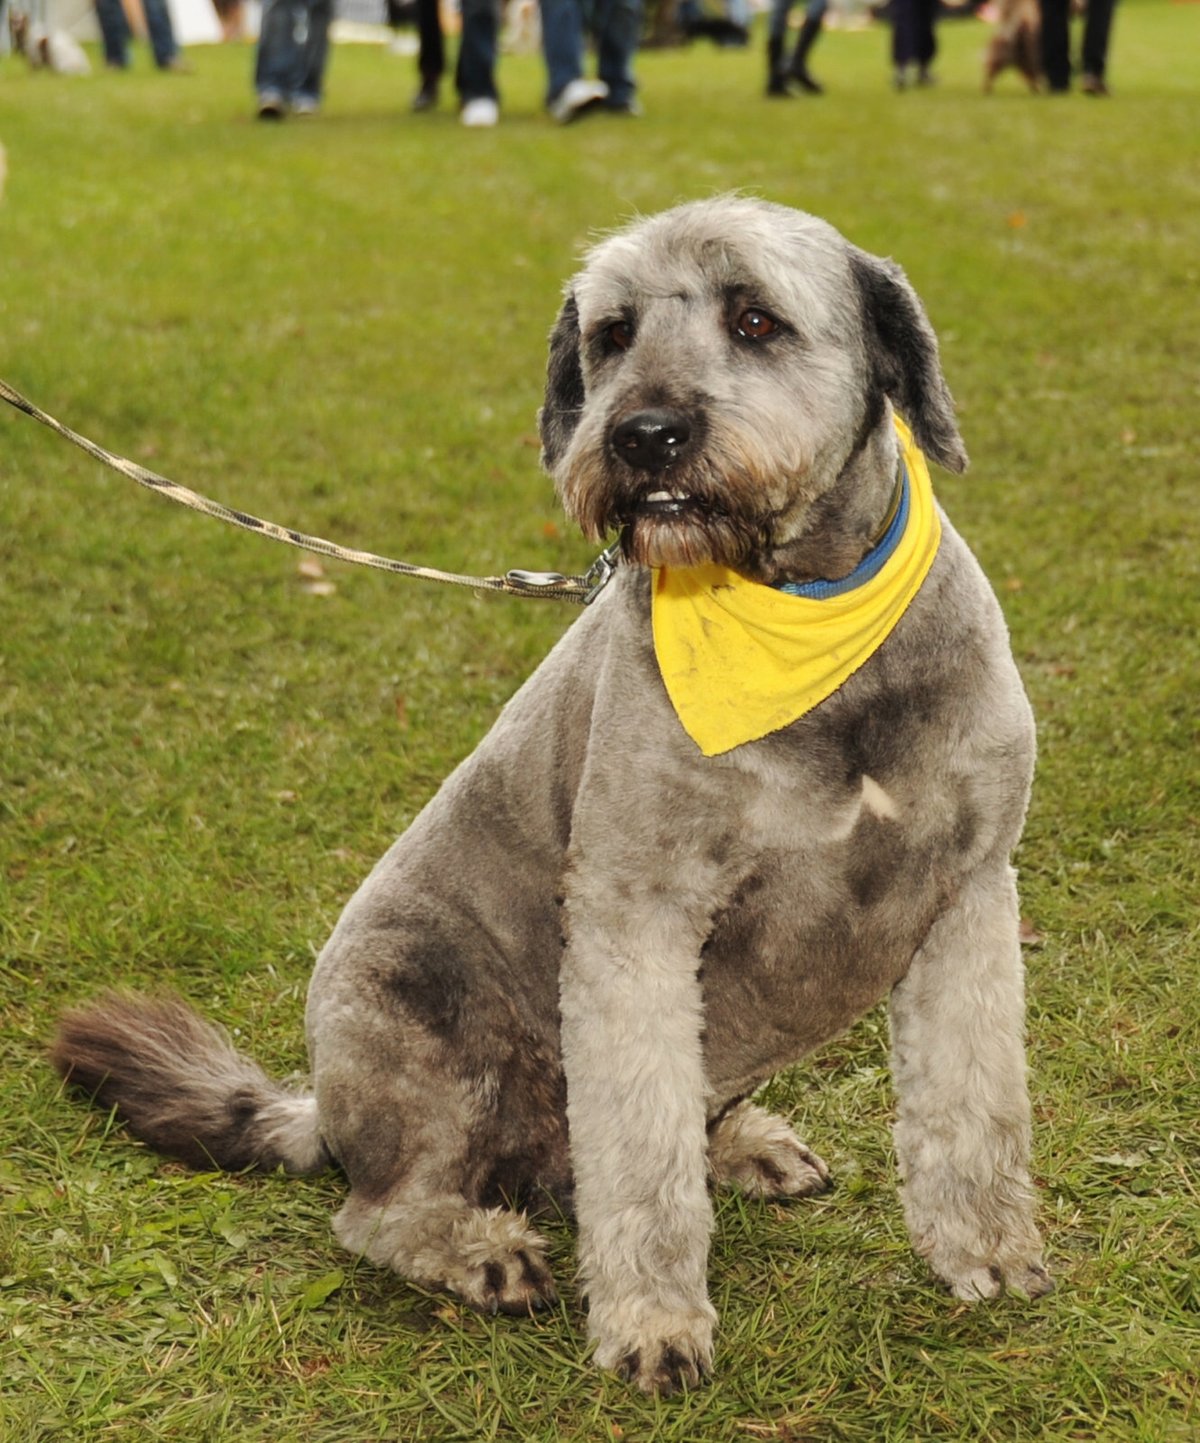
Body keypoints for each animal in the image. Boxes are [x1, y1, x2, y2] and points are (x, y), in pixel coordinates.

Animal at [54, 197, 1050, 1391]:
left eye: (756, 318)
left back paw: (742, 1142)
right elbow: (641, 1162)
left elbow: (975, 1105)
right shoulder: (636, 924)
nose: (643, 435)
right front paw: (655, 1321)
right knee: (380, 1210)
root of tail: (321, 1112)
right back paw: (474, 1249)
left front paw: (986, 1250)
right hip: (417, 1003)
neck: (807, 628)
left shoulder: (966, 899)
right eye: (612, 333)